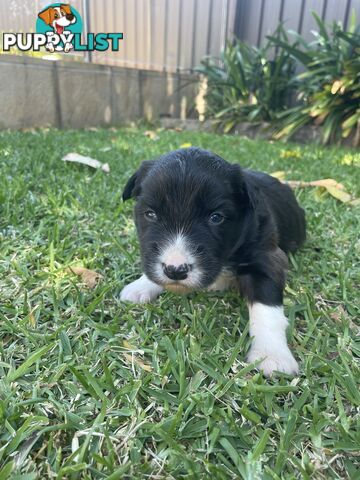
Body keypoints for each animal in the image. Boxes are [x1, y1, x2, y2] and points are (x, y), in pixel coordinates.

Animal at [119, 146, 306, 376]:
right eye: (150, 214)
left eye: (216, 217)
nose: (176, 270)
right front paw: (141, 285)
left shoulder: (266, 257)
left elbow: (267, 307)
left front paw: (272, 354)